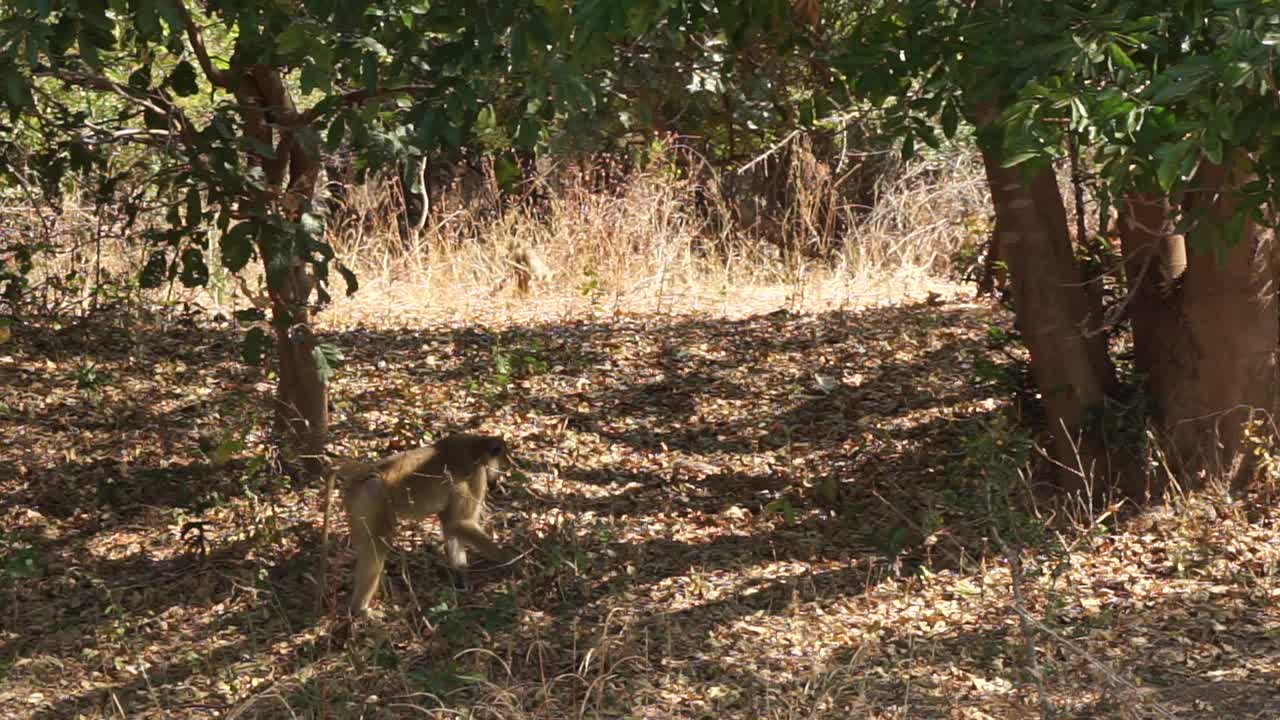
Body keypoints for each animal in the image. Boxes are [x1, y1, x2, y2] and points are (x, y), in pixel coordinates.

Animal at [335, 430, 514, 609]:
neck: (476, 447)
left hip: (356, 503)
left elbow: (451, 526)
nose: (503, 474)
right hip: (374, 496)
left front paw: (461, 576)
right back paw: (360, 608)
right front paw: (510, 560)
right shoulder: (476, 475)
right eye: (503, 461)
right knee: (377, 546)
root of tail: (366, 472)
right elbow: (459, 523)